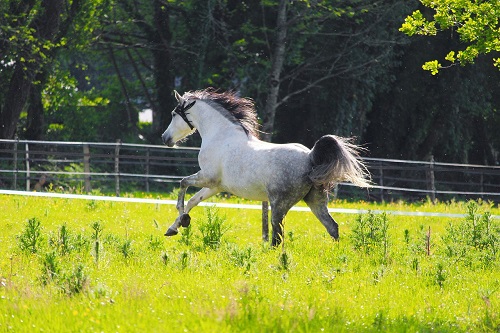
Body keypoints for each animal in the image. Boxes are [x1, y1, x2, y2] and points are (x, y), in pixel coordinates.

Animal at [161, 87, 372, 245]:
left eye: (173, 114)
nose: (165, 138)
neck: (221, 135)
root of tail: (310, 156)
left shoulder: (207, 177)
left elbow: (182, 185)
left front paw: (183, 221)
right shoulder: (216, 186)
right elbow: (193, 201)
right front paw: (174, 227)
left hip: (279, 204)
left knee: (277, 237)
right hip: (315, 201)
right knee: (332, 227)